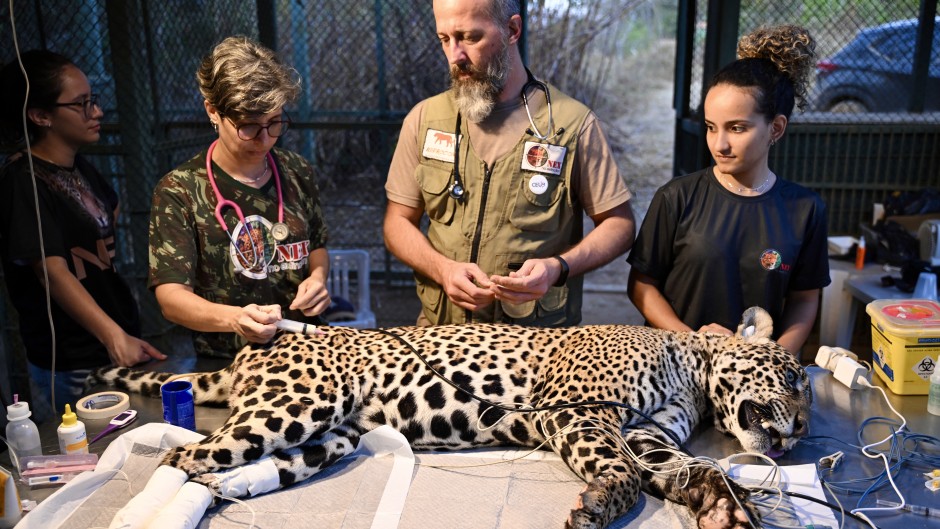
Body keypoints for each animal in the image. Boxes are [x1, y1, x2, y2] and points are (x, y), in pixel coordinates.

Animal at [90, 306, 811, 529]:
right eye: (793, 377)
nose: (799, 429)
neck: (693, 370)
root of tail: (257, 343)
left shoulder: (646, 434)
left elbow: (694, 469)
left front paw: (724, 509)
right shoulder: (579, 411)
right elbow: (626, 475)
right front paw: (601, 502)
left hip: (331, 433)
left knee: (244, 469)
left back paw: (229, 489)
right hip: (297, 403)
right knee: (180, 456)